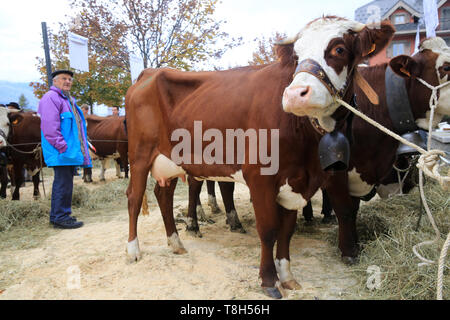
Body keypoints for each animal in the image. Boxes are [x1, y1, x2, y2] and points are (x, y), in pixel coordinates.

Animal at [125, 16, 396, 298]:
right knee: (134, 198)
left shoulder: (295, 181)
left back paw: (175, 242)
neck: (306, 140)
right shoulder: (260, 178)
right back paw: (133, 250)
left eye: (339, 49)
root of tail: (150, 73)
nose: (295, 94)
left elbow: (287, 231)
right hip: (140, 155)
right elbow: (268, 230)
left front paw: (287, 276)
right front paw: (268, 280)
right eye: (296, 56)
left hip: (169, 161)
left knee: (163, 195)